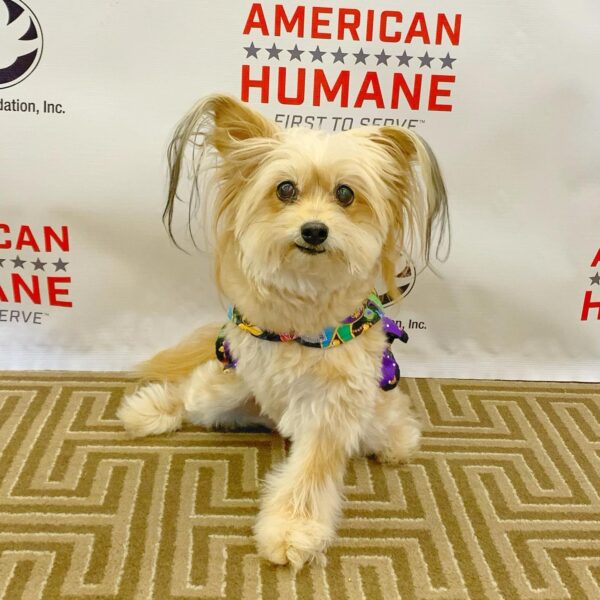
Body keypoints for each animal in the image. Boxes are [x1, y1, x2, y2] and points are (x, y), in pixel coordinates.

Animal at [118, 94, 448, 569]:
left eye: (345, 193)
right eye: (285, 189)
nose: (314, 230)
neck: (305, 311)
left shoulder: (333, 408)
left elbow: (309, 474)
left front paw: (294, 528)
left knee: (395, 433)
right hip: (224, 388)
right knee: (191, 394)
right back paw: (149, 410)